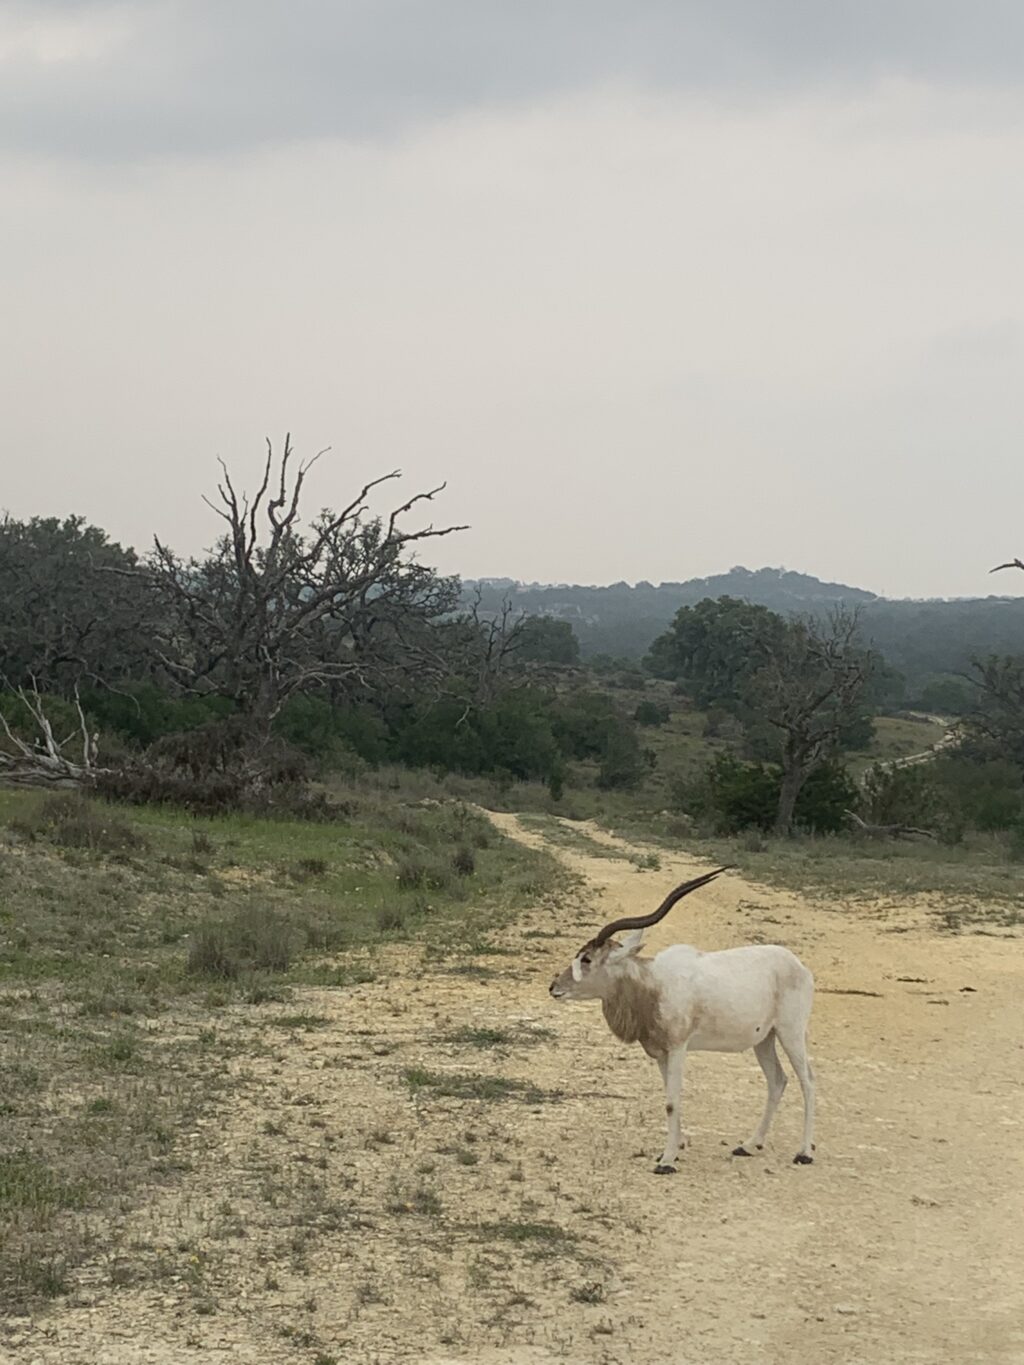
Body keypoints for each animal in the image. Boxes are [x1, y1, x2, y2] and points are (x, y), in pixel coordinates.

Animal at [554, 873, 819, 1173]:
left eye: (586, 959)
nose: (554, 987)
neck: (653, 984)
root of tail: (800, 967)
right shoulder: (661, 1052)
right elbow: (669, 1096)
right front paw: (675, 1148)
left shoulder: (678, 1047)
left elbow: (672, 1101)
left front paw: (667, 1161)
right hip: (764, 1039)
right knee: (777, 1080)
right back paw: (749, 1145)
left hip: (790, 1032)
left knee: (808, 1081)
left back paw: (804, 1152)